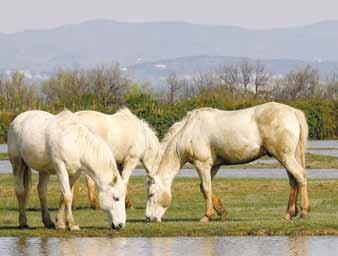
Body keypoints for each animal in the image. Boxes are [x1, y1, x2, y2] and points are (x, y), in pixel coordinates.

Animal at [145, 102, 308, 222]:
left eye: (151, 194)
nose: (148, 218)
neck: (189, 132)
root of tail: (292, 111)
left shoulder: (202, 164)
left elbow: (206, 188)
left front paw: (207, 216)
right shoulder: (214, 166)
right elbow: (205, 188)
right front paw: (222, 212)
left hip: (285, 157)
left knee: (300, 176)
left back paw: (304, 211)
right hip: (288, 157)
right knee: (294, 181)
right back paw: (289, 213)